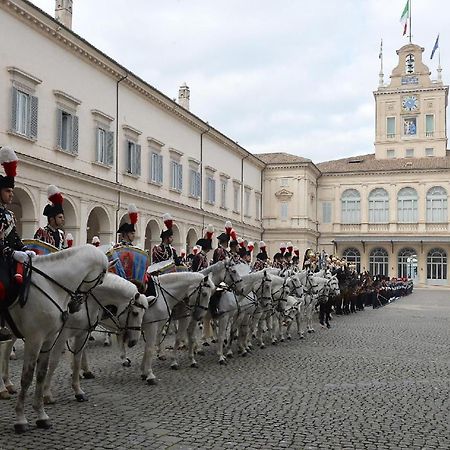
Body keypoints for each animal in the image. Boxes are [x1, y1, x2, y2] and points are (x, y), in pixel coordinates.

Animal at [5, 246, 108, 432]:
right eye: (101, 280)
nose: (76, 306)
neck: (51, 285)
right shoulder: (34, 339)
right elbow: (27, 377)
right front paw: (21, 419)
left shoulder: (48, 339)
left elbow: (41, 373)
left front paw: (41, 415)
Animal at [42, 272, 148, 406]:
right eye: (135, 313)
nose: (133, 342)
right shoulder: (62, 335)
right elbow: (54, 362)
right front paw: (46, 394)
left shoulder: (82, 333)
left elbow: (77, 359)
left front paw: (78, 390)